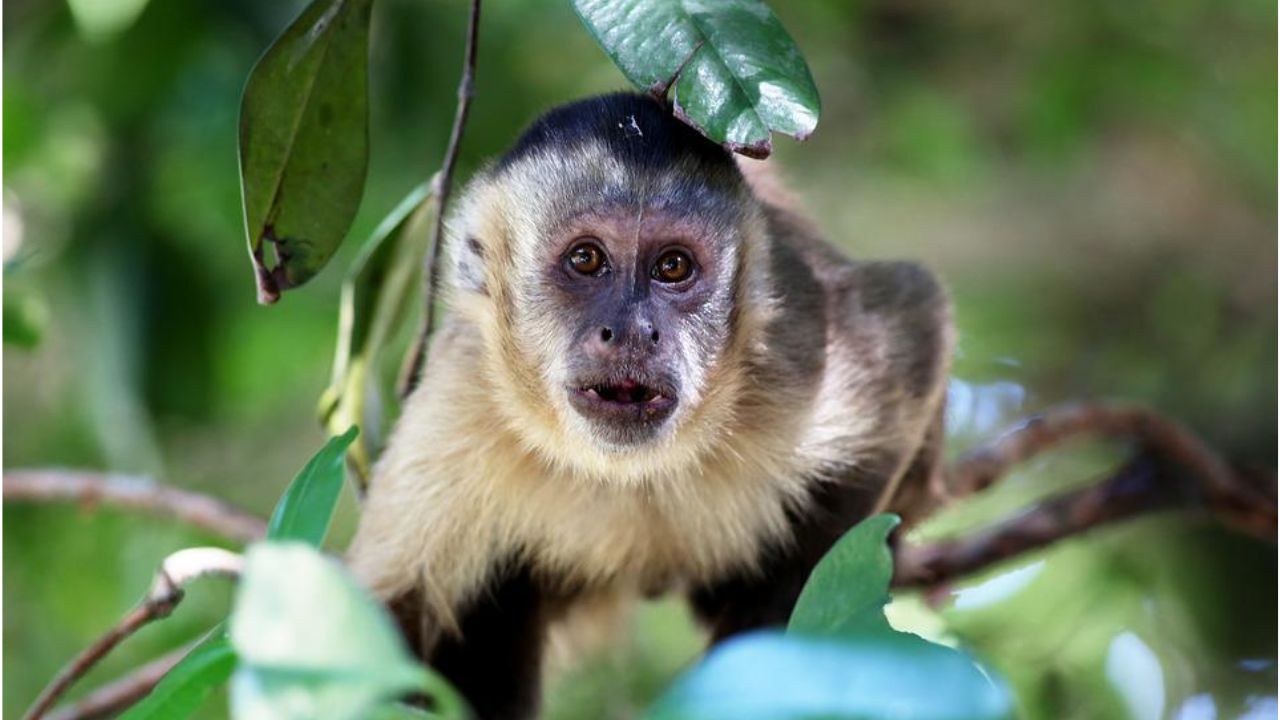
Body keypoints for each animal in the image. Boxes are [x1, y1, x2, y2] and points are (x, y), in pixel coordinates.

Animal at [346, 92, 953, 719]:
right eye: (586, 260)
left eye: (673, 267)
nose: (635, 331)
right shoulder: (461, 398)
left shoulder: (794, 352)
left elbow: (914, 316)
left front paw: (771, 636)